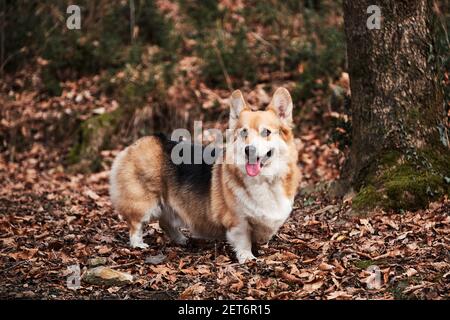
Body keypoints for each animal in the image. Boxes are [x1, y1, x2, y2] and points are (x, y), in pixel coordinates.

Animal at [108, 87, 298, 262]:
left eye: (266, 132)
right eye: (243, 132)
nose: (248, 150)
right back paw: (138, 245)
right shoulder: (237, 221)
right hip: (143, 203)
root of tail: (141, 142)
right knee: (135, 225)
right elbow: (243, 240)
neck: (264, 180)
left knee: (165, 223)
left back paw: (181, 240)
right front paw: (247, 257)